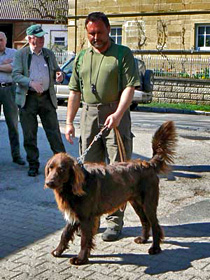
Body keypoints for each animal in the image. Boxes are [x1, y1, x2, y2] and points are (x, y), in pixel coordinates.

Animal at [44, 120, 177, 264]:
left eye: (61, 170)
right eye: (50, 168)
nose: (48, 182)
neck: (74, 186)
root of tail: (149, 164)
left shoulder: (86, 217)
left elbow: (84, 239)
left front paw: (81, 258)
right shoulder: (75, 214)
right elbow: (65, 233)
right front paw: (58, 251)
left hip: (148, 203)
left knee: (155, 225)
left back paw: (155, 248)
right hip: (136, 203)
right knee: (145, 221)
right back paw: (143, 239)